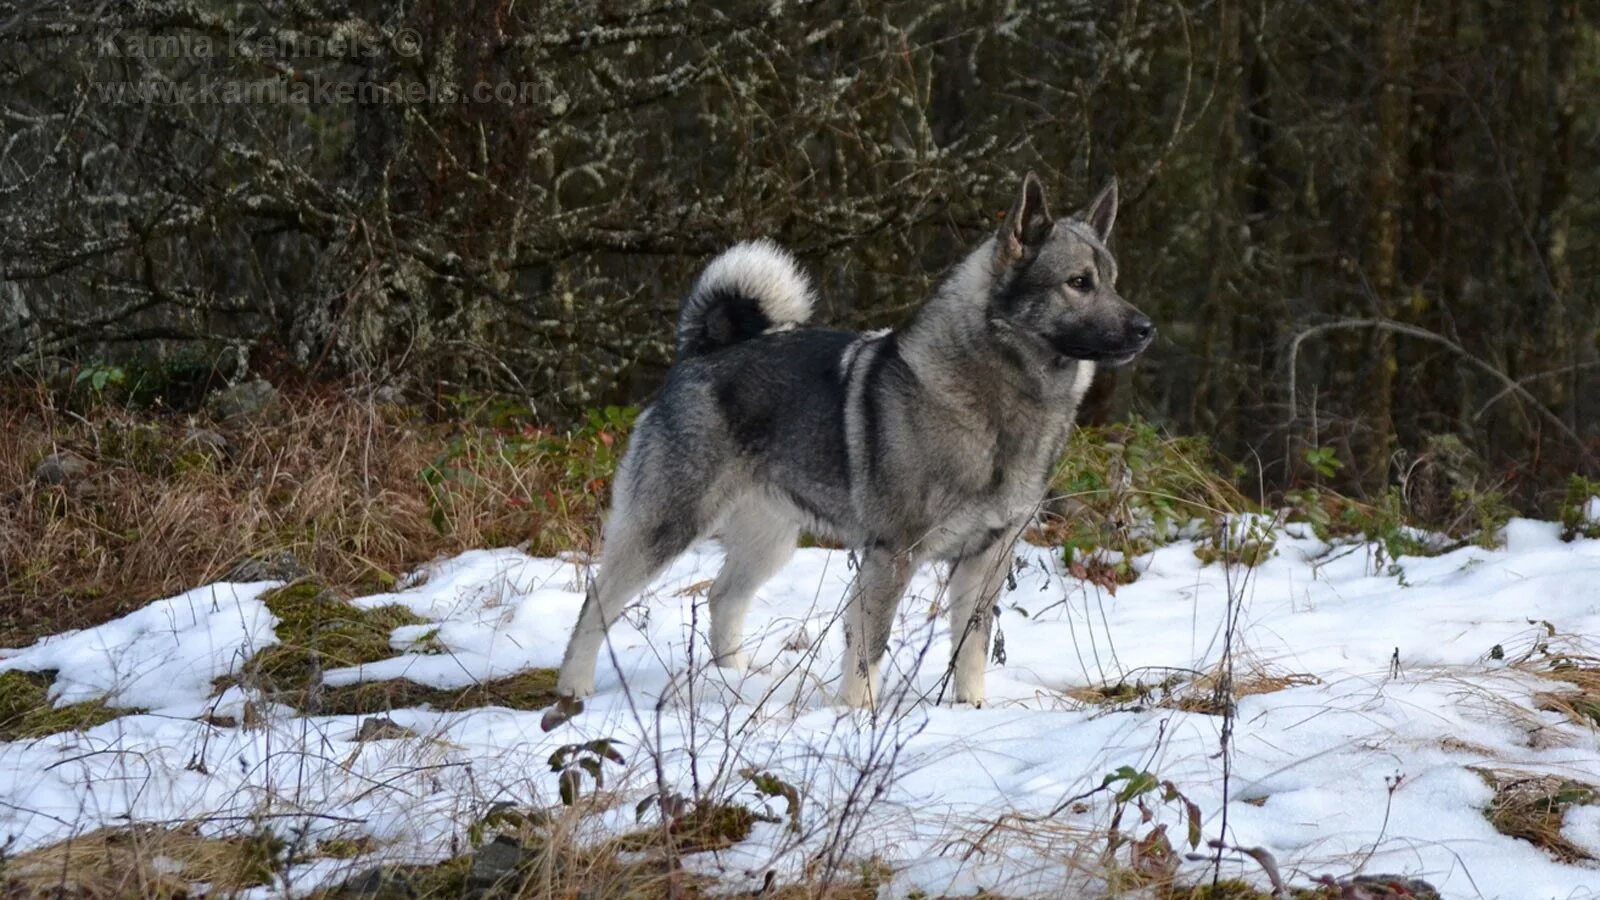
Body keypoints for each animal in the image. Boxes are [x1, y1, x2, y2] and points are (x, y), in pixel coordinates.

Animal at [560, 171, 1152, 704]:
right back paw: (573, 687)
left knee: (723, 598)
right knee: (597, 603)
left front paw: (971, 708)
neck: (998, 397)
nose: (1146, 328)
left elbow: (971, 645)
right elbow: (870, 645)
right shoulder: (893, 554)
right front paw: (857, 716)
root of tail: (703, 350)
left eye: (1113, 279)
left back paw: (733, 681)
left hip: (769, 538)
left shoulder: (987, 558)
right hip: (667, 524)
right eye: (1078, 282)